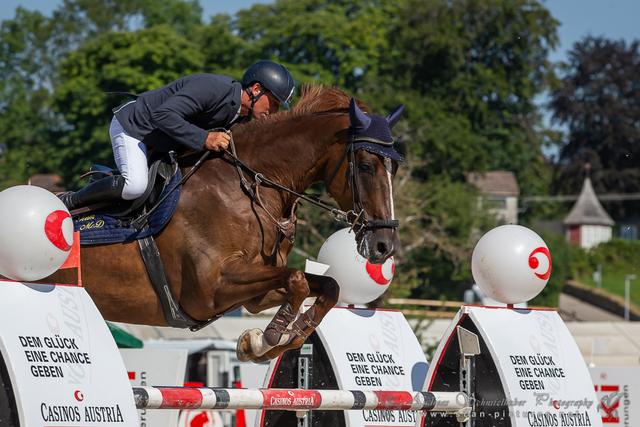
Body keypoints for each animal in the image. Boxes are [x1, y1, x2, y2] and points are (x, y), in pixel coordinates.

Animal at [50, 85, 402, 362]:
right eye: (366, 165)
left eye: (394, 169)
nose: (384, 246)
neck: (247, 185)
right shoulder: (211, 288)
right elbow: (298, 280)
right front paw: (269, 337)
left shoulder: (252, 294)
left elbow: (325, 285)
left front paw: (271, 340)